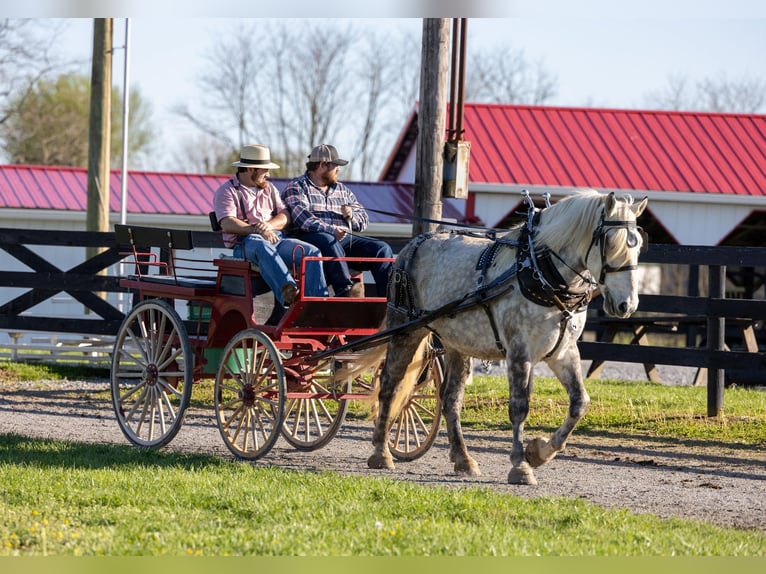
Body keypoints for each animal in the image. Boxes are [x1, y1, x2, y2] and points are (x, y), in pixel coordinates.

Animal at [366, 192, 648, 486]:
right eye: (610, 242)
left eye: (638, 244)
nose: (626, 305)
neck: (539, 272)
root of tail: (411, 245)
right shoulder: (519, 350)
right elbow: (520, 407)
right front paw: (520, 466)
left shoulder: (563, 352)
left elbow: (580, 403)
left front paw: (539, 452)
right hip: (406, 329)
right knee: (389, 386)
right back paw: (381, 453)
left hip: (456, 344)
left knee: (450, 399)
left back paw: (463, 459)